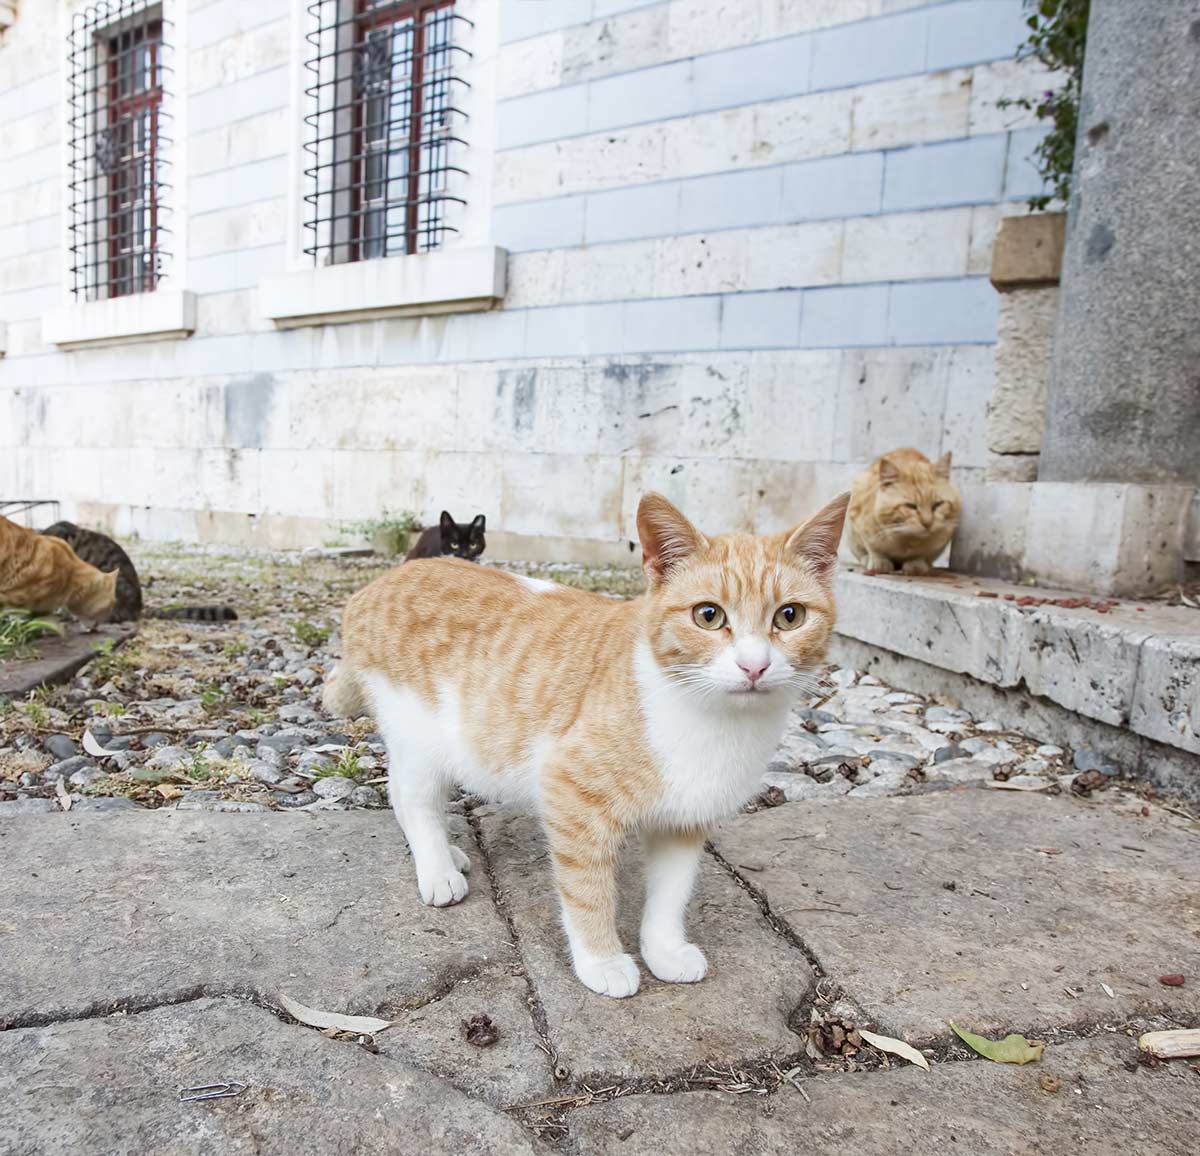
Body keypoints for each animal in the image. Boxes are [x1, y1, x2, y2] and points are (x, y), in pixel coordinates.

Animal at [324, 492, 849, 998]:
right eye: (708, 615)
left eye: (790, 616)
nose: (754, 666)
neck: (718, 723)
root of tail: (381, 582)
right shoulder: (571, 792)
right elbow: (588, 888)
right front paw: (602, 961)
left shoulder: (685, 818)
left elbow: (671, 893)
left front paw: (664, 950)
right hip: (418, 735)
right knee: (414, 800)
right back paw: (436, 867)